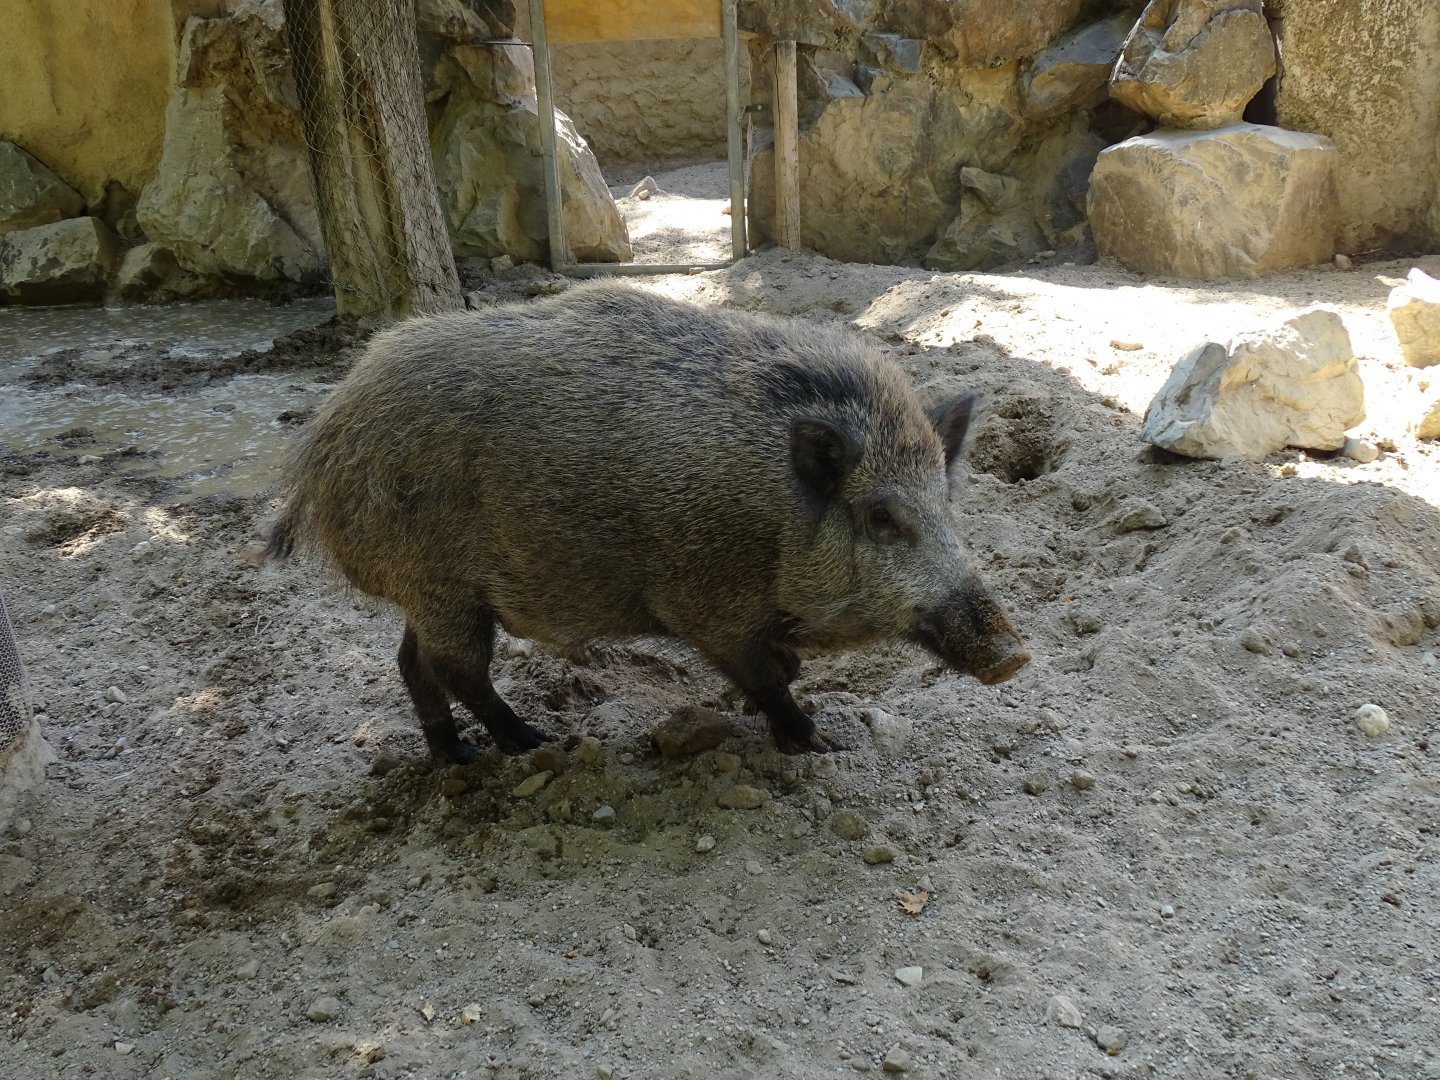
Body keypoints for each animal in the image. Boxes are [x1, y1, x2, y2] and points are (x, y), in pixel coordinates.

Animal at [267, 282, 1028, 763]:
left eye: (946, 504)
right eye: (879, 515)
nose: (1014, 654)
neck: (776, 519)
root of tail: (320, 447)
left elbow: (778, 668)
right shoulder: (705, 604)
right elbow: (767, 677)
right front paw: (817, 743)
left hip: (432, 594)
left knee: (412, 662)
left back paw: (456, 757)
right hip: (441, 586)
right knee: (457, 671)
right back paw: (531, 745)